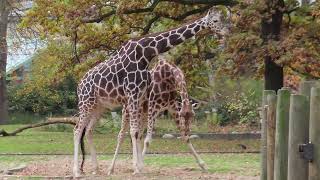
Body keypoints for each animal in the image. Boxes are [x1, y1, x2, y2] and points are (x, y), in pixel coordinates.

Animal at [74, 7, 226, 177]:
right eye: (215, 21)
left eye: (223, 19)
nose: (226, 31)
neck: (146, 53)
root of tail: (79, 85)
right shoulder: (135, 95)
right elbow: (136, 133)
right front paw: (137, 168)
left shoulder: (142, 98)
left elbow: (139, 134)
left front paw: (139, 166)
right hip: (88, 104)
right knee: (78, 130)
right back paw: (78, 171)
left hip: (99, 107)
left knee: (89, 130)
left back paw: (96, 168)